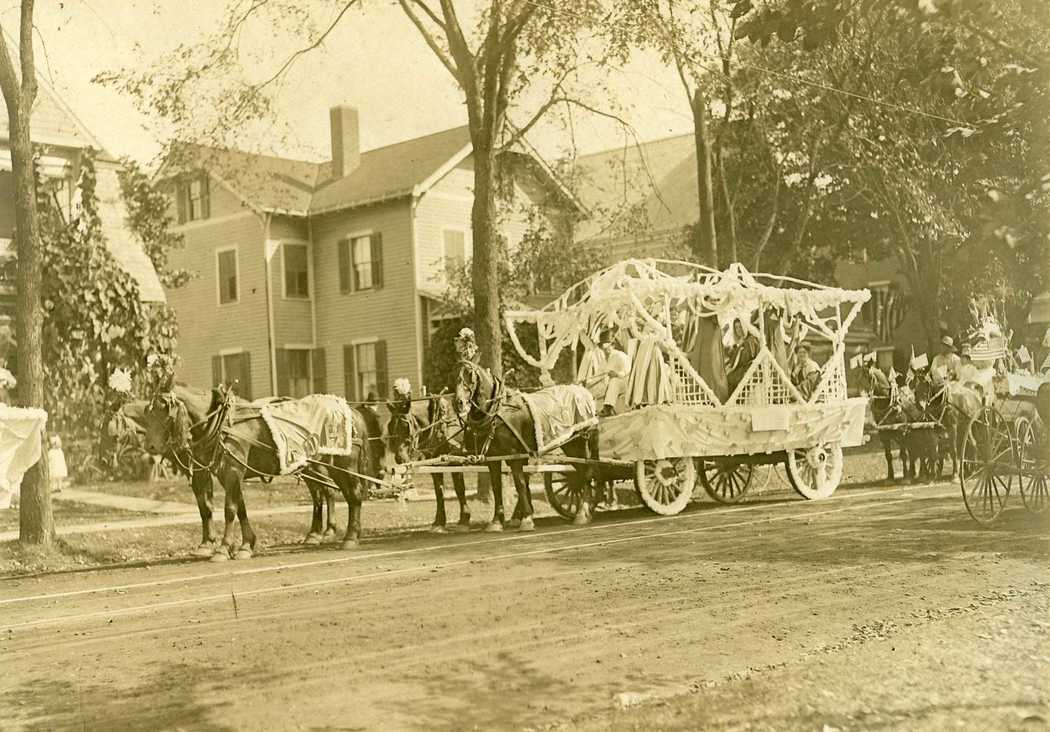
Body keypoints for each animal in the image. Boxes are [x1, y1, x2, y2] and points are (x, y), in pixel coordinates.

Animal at [142, 382, 382, 558]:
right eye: (147, 411)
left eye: (165, 411)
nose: (150, 447)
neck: (222, 423)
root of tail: (351, 410)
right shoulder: (225, 474)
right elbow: (238, 508)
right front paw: (246, 545)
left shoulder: (232, 470)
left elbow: (229, 509)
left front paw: (223, 548)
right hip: (319, 466)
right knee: (331, 493)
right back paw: (329, 534)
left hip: (344, 465)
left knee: (352, 495)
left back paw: (350, 537)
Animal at [384, 394, 470, 531]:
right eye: (390, 427)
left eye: (405, 426)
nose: (399, 458)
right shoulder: (435, 464)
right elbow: (439, 491)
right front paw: (439, 521)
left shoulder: (456, 461)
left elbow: (459, 488)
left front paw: (464, 518)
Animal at [451, 361, 600, 527]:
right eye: (453, 376)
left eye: (470, 376)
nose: (459, 403)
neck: (498, 411)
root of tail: (585, 393)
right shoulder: (494, 458)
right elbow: (497, 487)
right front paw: (497, 521)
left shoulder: (514, 455)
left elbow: (520, 483)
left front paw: (527, 518)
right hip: (570, 445)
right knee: (582, 472)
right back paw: (586, 510)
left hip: (580, 442)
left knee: (587, 472)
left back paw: (582, 512)